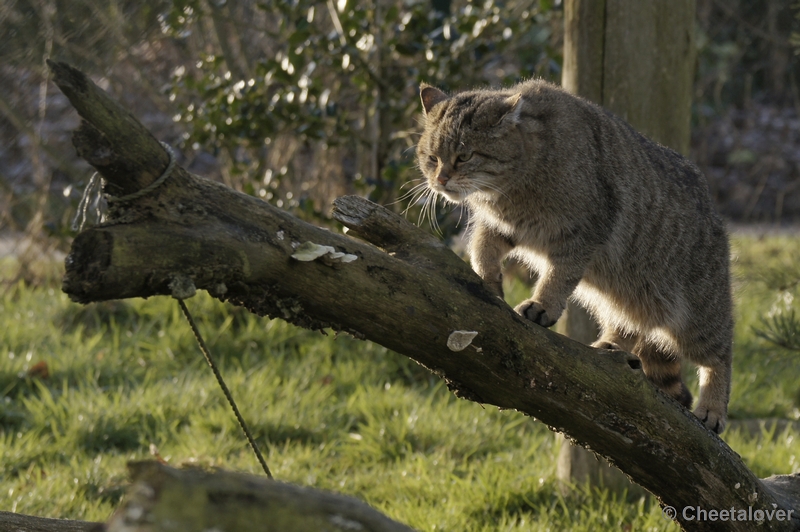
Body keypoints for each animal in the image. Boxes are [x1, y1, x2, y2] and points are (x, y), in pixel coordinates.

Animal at [416, 81, 736, 434]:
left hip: (698, 313)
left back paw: (713, 407)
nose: (440, 179)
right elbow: (482, 249)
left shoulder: (584, 235)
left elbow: (558, 276)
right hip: (626, 295)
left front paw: (542, 304)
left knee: (720, 353)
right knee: (631, 322)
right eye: (432, 158)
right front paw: (487, 279)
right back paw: (611, 345)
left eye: (464, 156)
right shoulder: (500, 227)